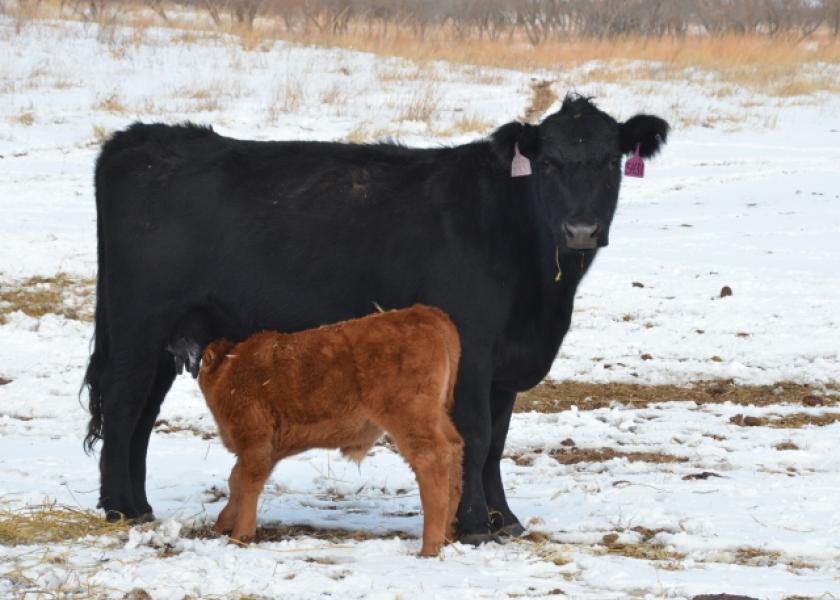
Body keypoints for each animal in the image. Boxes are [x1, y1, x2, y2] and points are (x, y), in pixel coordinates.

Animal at [199, 304, 462, 556]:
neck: (229, 367)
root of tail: (424, 313)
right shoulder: (265, 449)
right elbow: (235, 480)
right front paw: (221, 525)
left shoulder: (254, 441)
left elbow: (245, 483)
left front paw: (239, 536)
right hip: (437, 417)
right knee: (454, 449)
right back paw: (447, 536)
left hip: (411, 419)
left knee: (432, 459)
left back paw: (429, 547)